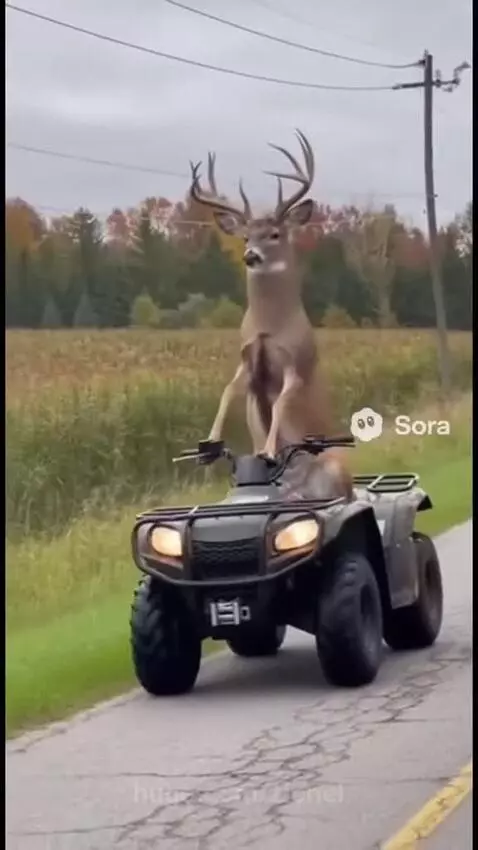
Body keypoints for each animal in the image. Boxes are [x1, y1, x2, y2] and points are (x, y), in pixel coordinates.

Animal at [188, 130, 353, 501]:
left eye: (275, 234)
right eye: (245, 236)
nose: (251, 255)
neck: (269, 328)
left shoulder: (296, 364)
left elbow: (279, 404)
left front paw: (267, 448)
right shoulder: (246, 362)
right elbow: (226, 390)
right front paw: (209, 442)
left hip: (337, 474)